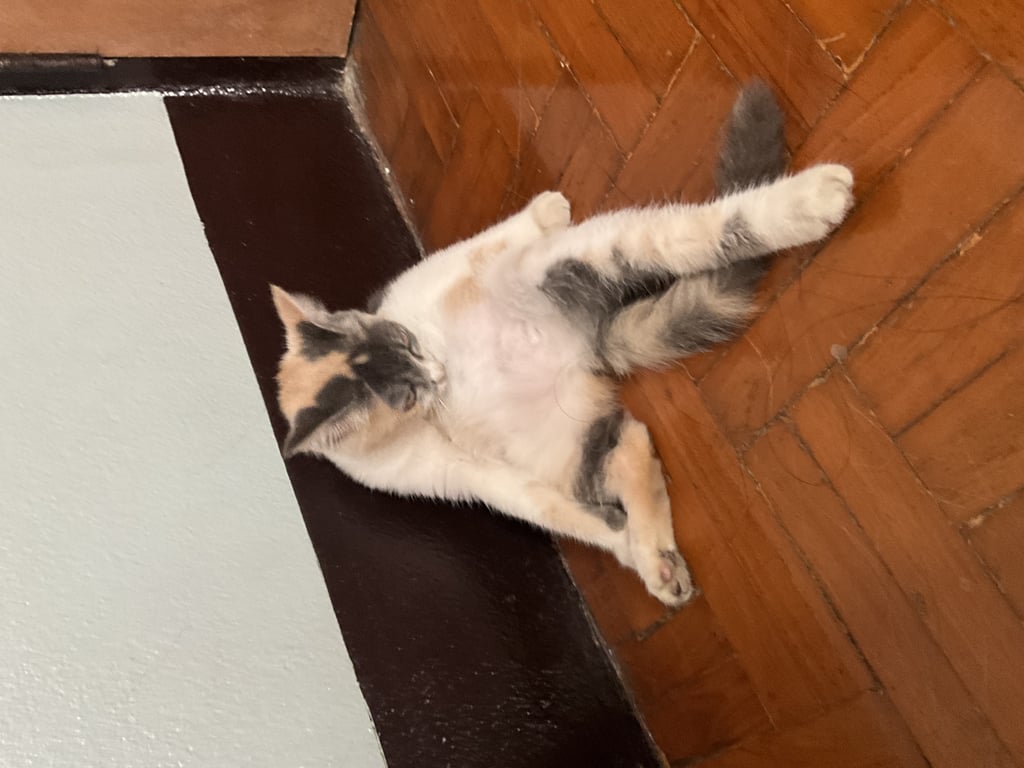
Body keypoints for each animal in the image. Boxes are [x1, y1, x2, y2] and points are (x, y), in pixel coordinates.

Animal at [270, 82, 854, 606]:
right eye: (408, 396)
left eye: (407, 342)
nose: (439, 374)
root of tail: (583, 348)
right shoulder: (463, 476)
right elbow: (553, 512)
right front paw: (626, 545)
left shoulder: (438, 274)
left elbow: (490, 237)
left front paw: (545, 209)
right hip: (561, 447)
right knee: (630, 444)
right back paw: (659, 563)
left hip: (574, 259)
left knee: (702, 229)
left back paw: (813, 199)